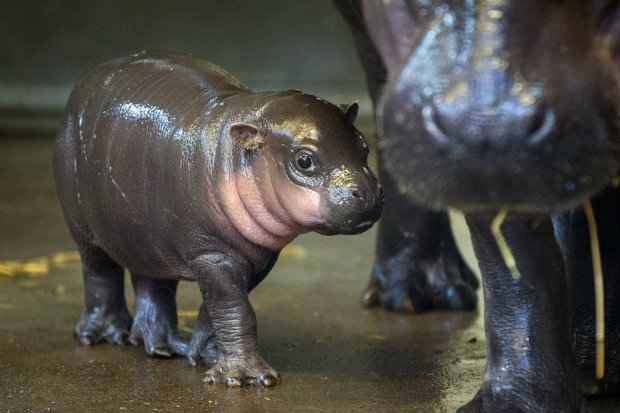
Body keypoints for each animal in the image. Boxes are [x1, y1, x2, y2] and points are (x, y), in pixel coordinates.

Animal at [53, 51, 382, 386]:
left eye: (364, 145)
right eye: (304, 160)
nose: (368, 193)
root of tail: (89, 77)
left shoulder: (257, 255)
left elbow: (217, 310)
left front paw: (206, 356)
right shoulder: (212, 254)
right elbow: (235, 310)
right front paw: (246, 377)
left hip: (145, 234)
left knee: (154, 284)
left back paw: (161, 346)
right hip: (84, 227)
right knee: (99, 272)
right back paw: (105, 335)